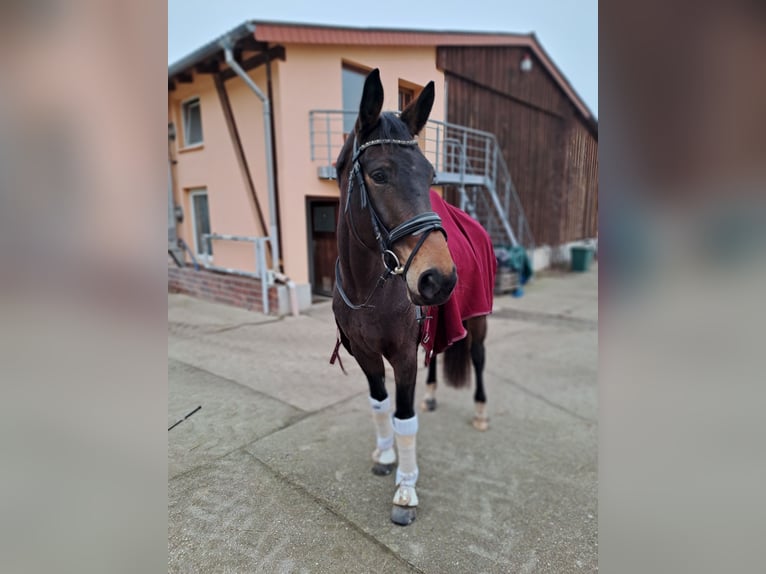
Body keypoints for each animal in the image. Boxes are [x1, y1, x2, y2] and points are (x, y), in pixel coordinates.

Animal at [334, 70, 492, 528]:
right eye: (379, 174)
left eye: (430, 175)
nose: (440, 278)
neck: (368, 291)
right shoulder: (364, 354)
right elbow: (379, 403)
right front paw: (386, 454)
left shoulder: (403, 355)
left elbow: (404, 416)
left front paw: (405, 489)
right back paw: (435, 394)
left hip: (478, 321)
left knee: (478, 358)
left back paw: (480, 412)